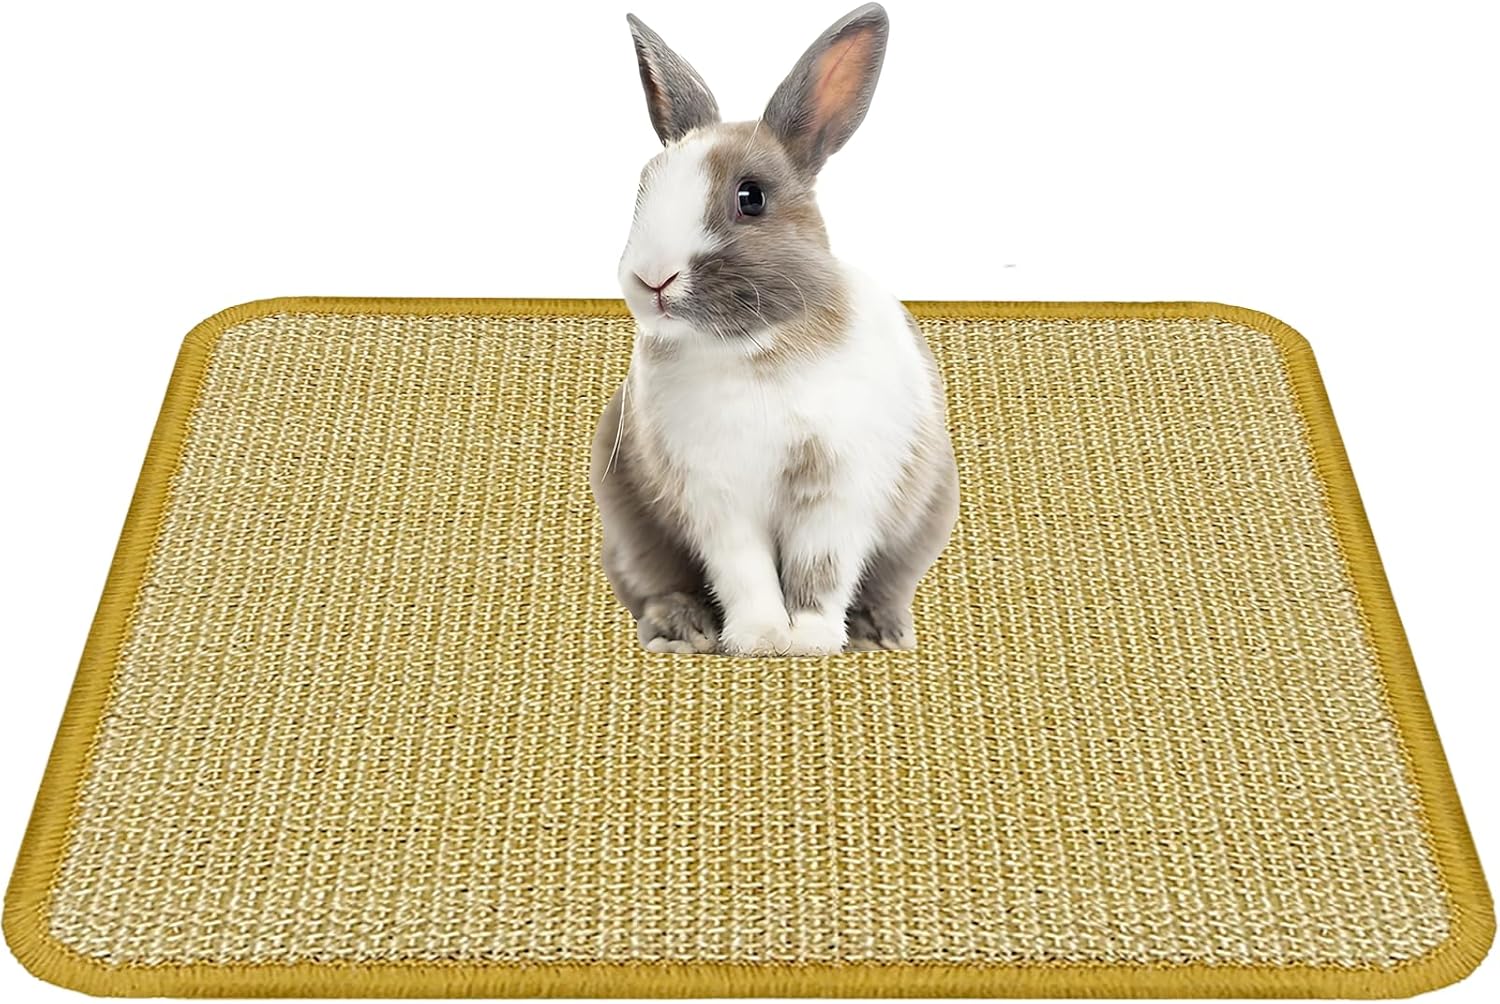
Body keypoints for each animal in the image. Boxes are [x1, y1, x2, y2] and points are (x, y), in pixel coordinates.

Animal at [590, 2, 958, 656]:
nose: (652, 278)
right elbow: (745, 570)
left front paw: (808, 639)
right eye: (643, 188)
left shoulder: (837, 489)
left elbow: (821, 570)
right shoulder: (716, 497)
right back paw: (682, 632)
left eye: (751, 197)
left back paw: (879, 634)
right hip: (630, 528)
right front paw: (761, 637)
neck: (753, 349)